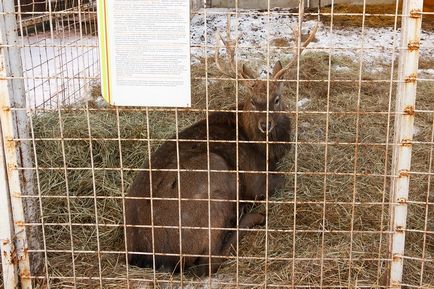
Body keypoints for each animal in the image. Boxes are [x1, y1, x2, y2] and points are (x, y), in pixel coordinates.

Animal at [125, 15, 318, 274]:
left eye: (277, 99)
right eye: (252, 101)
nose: (265, 124)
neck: (265, 149)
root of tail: (146, 255)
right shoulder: (257, 179)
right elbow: (282, 180)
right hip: (216, 176)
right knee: (209, 261)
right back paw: (253, 217)